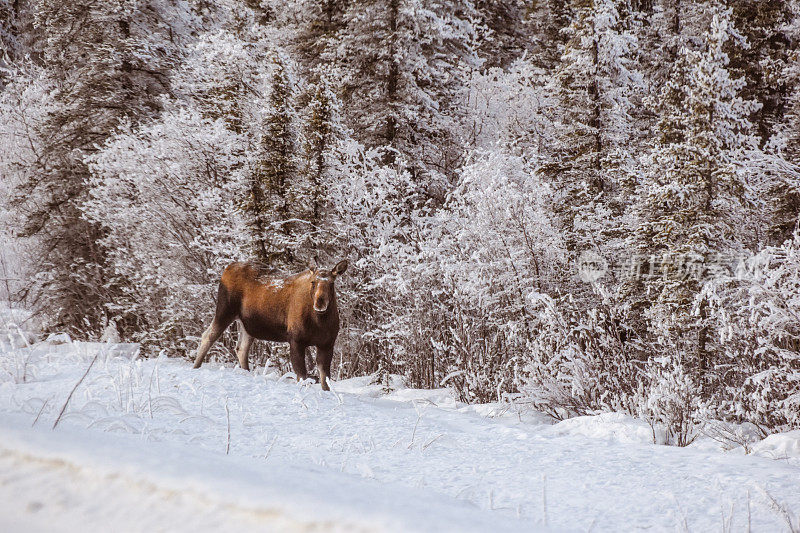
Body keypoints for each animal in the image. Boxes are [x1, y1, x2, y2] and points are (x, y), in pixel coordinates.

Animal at [192, 258, 348, 390]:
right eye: (313, 282)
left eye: (331, 283)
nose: (320, 303)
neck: (320, 322)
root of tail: (228, 268)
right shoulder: (296, 340)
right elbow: (302, 376)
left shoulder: (327, 344)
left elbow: (325, 381)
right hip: (225, 310)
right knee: (208, 336)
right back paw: (195, 367)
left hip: (246, 324)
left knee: (241, 348)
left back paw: (247, 373)